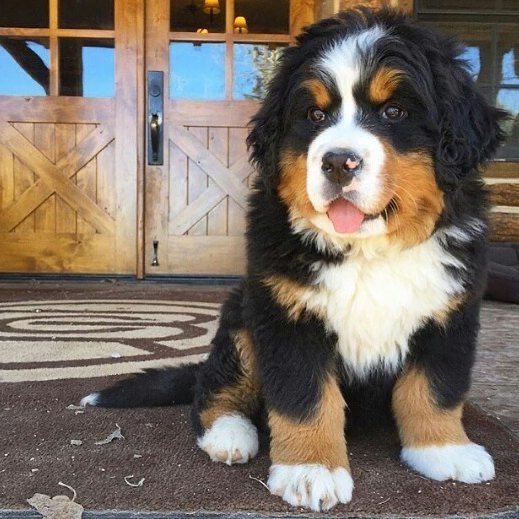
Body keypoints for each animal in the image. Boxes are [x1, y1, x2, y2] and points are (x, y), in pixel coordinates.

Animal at [82, 7, 508, 512]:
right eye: (315, 114)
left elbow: (434, 389)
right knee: (214, 388)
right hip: (242, 319)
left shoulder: (449, 315)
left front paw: (445, 450)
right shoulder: (287, 316)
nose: (338, 162)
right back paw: (230, 435)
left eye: (394, 112)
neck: (369, 251)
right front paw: (311, 471)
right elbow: (306, 398)